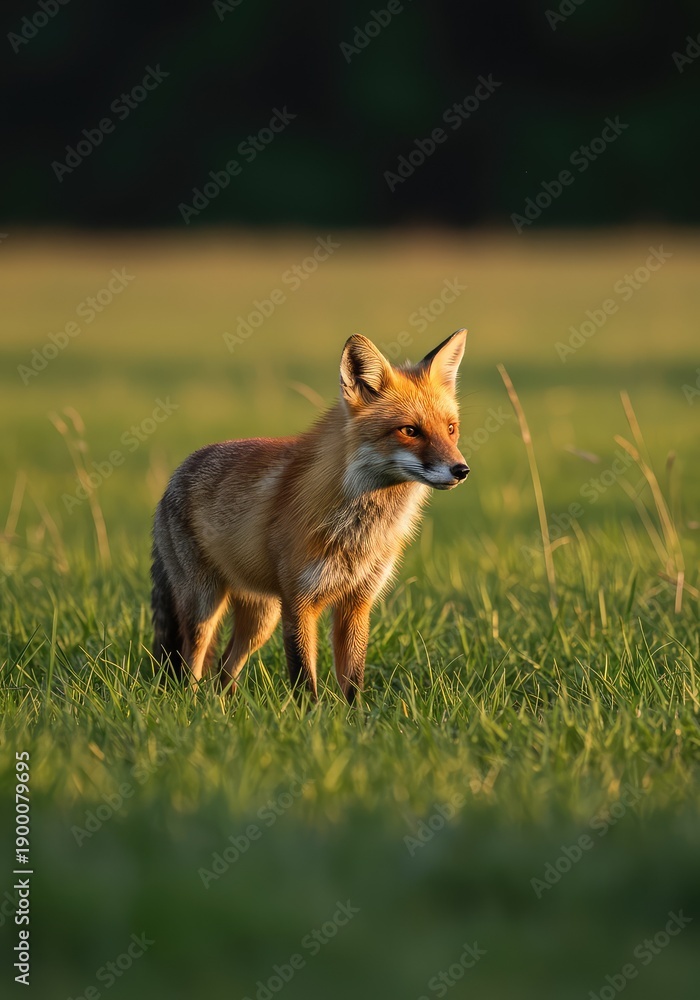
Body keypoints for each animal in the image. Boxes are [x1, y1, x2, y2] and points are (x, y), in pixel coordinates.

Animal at [151, 329, 470, 702]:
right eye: (409, 430)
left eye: (451, 428)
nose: (461, 470)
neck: (356, 531)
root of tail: (175, 476)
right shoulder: (299, 601)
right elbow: (304, 677)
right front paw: (309, 716)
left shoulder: (357, 602)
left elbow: (353, 678)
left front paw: (356, 717)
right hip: (205, 605)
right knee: (193, 665)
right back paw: (192, 705)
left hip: (261, 617)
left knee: (225, 669)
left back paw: (222, 708)